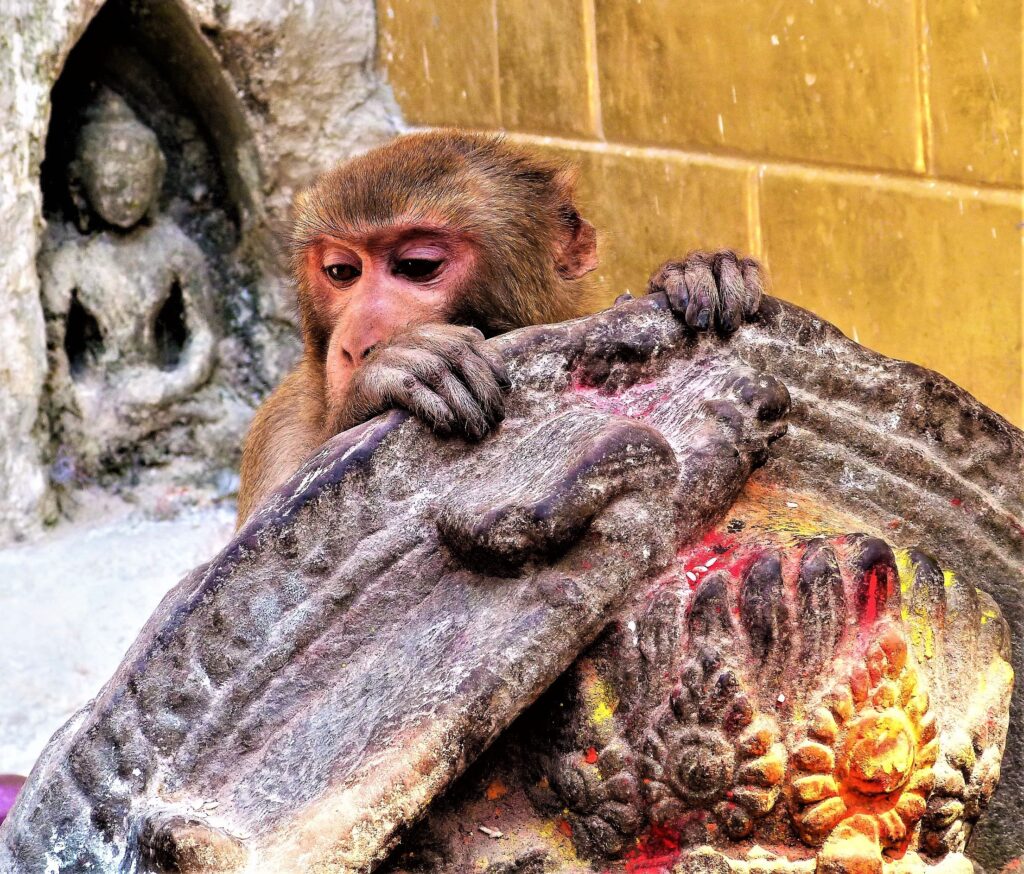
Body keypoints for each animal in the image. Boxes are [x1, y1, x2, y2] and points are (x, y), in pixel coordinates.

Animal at [239, 132, 765, 528]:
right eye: (342, 272)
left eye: (416, 266)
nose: (356, 347)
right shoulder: (282, 425)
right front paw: (397, 367)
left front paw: (697, 271)